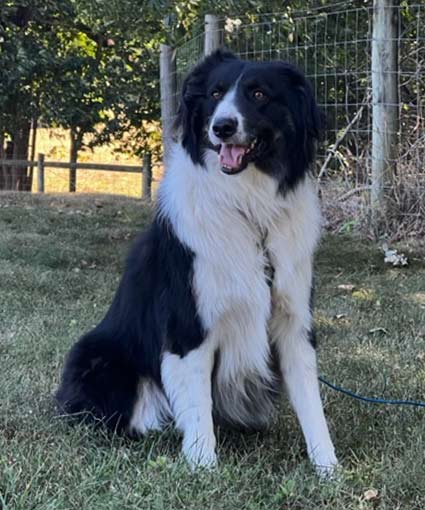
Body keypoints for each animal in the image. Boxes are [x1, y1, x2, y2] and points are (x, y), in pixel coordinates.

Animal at [56, 49, 336, 476]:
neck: (248, 207)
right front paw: (203, 464)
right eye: (215, 93)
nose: (222, 127)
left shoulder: (293, 318)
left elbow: (310, 399)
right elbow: (198, 402)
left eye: (258, 93)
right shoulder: (189, 324)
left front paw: (328, 466)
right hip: (98, 359)